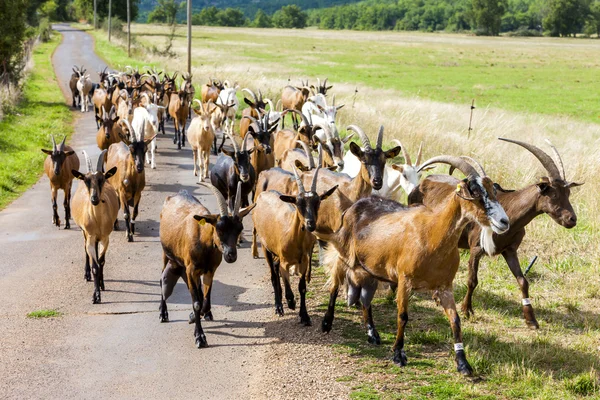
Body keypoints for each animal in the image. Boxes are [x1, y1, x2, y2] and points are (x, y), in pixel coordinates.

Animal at [71, 151, 119, 304]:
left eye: (101, 179)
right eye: (87, 180)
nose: (94, 199)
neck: (97, 220)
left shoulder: (105, 237)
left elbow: (101, 262)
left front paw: (102, 285)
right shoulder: (90, 236)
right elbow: (95, 267)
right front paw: (96, 296)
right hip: (84, 233)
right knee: (85, 249)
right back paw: (86, 275)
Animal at [158, 183, 254, 348]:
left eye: (239, 229)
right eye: (219, 229)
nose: (231, 255)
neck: (203, 240)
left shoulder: (209, 271)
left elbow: (206, 299)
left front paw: (194, 316)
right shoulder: (191, 270)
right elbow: (197, 303)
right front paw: (200, 337)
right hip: (167, 254)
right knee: (161, 278)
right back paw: (163, 313)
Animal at [316, 155, 508, 376]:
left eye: (494, 190)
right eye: (475, 192)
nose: (504, 221)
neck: (432, 233)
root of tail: (354, 206)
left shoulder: (444, 286)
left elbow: (456, 320)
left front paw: (463, 363)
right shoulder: (404, 280)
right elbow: (403, 316)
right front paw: (398, 354)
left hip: (370, 269)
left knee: (365, 299)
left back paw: (373, 334)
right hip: (344, 255)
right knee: (334, 285)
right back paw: (327, 323)